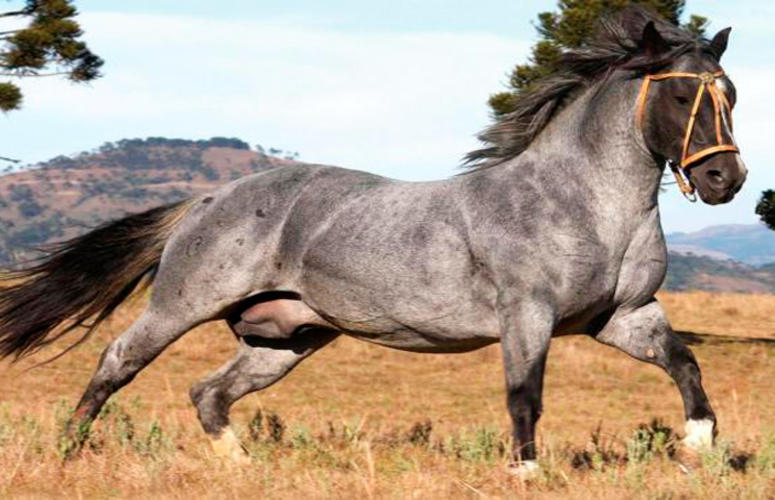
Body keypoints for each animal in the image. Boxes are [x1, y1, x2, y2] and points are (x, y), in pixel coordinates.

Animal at [0, 7, 747, 474]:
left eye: (730, 93)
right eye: (682, 97)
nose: (724, 179)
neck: (586, 204)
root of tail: (209, 199)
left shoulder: (621, 316)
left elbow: (685, 367)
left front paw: (699, 451)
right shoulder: (526, 315)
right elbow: (524, 396)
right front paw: (525, 473)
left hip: (285, 337)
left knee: (209, 392)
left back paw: (244, 467)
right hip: (182, 305)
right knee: (118, 360)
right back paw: (68, 451)